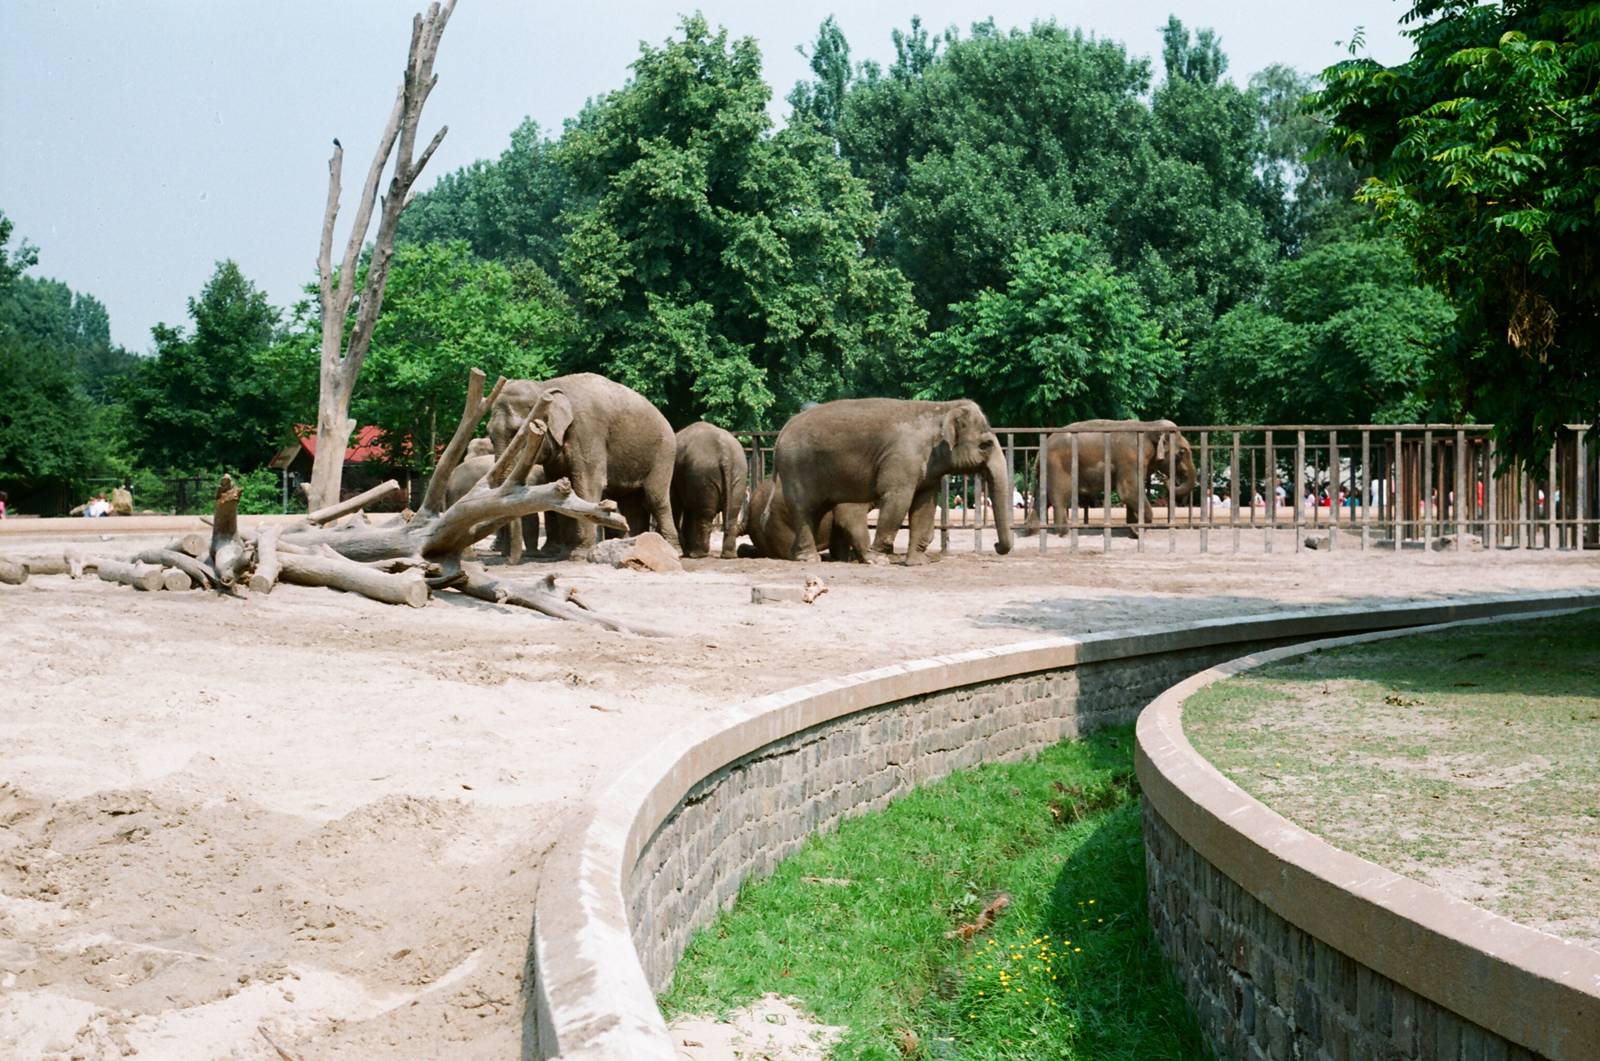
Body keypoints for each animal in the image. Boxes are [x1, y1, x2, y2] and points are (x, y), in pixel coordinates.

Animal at [487, 373, 679, 558]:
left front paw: (579, 554)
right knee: (629, 501)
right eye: (489, 435)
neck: (545, 387)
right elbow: (559, 486)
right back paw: (633, 544)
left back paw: (672, 549)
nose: (507, 558)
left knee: (655, 498)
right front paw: (566, 553)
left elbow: (587, 484)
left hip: (664, 452)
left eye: (518, 433)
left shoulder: (588, 430)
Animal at [672, 422, 749, 559]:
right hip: (738, 472)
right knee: (732, 514)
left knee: (704, 515)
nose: (683, 552)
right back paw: (728, 556)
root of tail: (725, 454)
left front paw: (687, 552)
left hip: (703, 474)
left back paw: (698, 554)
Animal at [773, 397, 1015, 564]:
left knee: (817, 510)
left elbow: (925, 504)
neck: (942, 408)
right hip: (795, 468)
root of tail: (784, 428)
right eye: (986, 445)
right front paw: (879, 560)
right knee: (804, 509)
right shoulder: (903, 458)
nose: (996, 545)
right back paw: (809, 559)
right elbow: (898, 500)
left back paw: (799, 556)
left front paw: (918, 563)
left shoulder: (926, 468)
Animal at [1025, 418, 1197, 538]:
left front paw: (1132, 531)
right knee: (1060, 497)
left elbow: (1132, 493)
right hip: (1058, 466)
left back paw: (1033, 532)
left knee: (1042, 498)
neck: (1150, 426)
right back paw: (1064, 533)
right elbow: (1128, 491)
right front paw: (1137, 530)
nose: (1166, 479)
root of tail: (1041, 449)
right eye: (1182, 453)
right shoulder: (1130, 458)